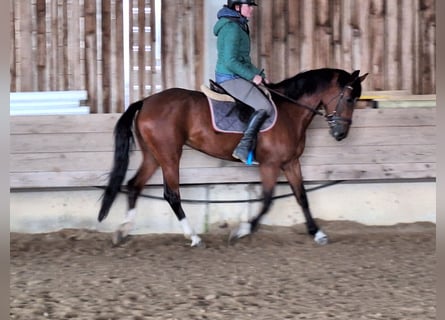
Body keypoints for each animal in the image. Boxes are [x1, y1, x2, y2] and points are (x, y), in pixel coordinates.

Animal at [98, 68, 368, 248]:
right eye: (349, 98)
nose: (341, 134)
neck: (290, 111)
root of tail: (145, 101)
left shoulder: (291, 162)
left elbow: (302, 197)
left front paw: (317, 233)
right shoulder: (270, 165)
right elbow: (267, 200)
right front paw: (242, 230)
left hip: (153, 156)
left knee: (134, 185)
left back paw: (123, 230)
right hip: (169, 155)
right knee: (171, 194)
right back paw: (193, 237)